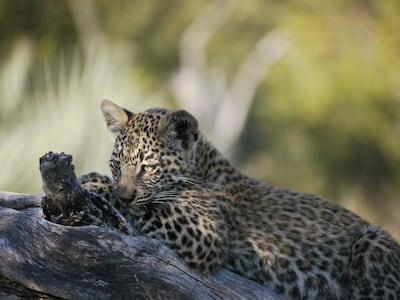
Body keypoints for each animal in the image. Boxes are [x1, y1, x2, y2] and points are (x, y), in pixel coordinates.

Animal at [79, 99, 400, 298]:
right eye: (117, 165)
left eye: (146, 167)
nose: (124, 194)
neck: (200, 167)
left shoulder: (207, 235)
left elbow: (151, 207)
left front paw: (95, 183)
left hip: (373, 240)